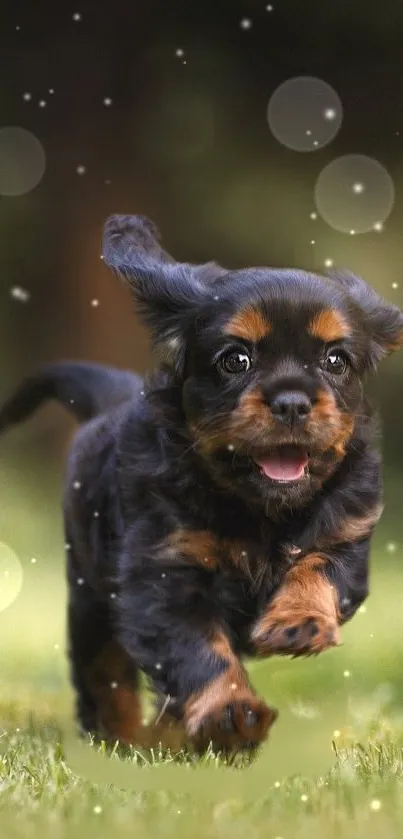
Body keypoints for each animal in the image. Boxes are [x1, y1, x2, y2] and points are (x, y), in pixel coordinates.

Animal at [1, 213, 402, 756]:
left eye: (335, 360)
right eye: (236, 360)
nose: (292, 403)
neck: (261, 509)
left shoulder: (347, 534)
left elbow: (317, 567)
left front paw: (297, 622)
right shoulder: (165, 573)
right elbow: (198, 651)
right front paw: (231, 714)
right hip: (90, 597)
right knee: (103, 674)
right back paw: (126, 740)